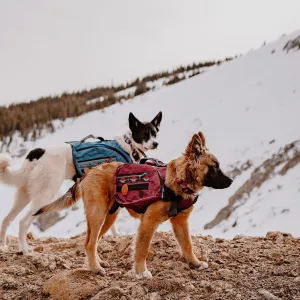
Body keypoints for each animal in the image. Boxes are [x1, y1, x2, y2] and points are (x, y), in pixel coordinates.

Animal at [0, 111, 162, 254]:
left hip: (24, 195)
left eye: (155, 133)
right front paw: (116, 235)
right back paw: (25, 250)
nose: (156, 143)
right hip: (44, 195)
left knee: (6, 219)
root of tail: (38, 153)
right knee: (23, 222)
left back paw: (3, 246)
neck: (128, 145)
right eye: (144, 134)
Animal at [35, 132, 232, 278]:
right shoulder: (148, 222)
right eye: (215, 167)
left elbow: (187, 245)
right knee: (89, 242)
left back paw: (95, 263)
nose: (231, 181)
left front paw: (195, 263)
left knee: (92, 241)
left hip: (108, 217)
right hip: (98, 214)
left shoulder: (180, 222)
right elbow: (142, 249)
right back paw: (95, 268)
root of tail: (89, 172)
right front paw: (141, 271)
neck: (177, 180)